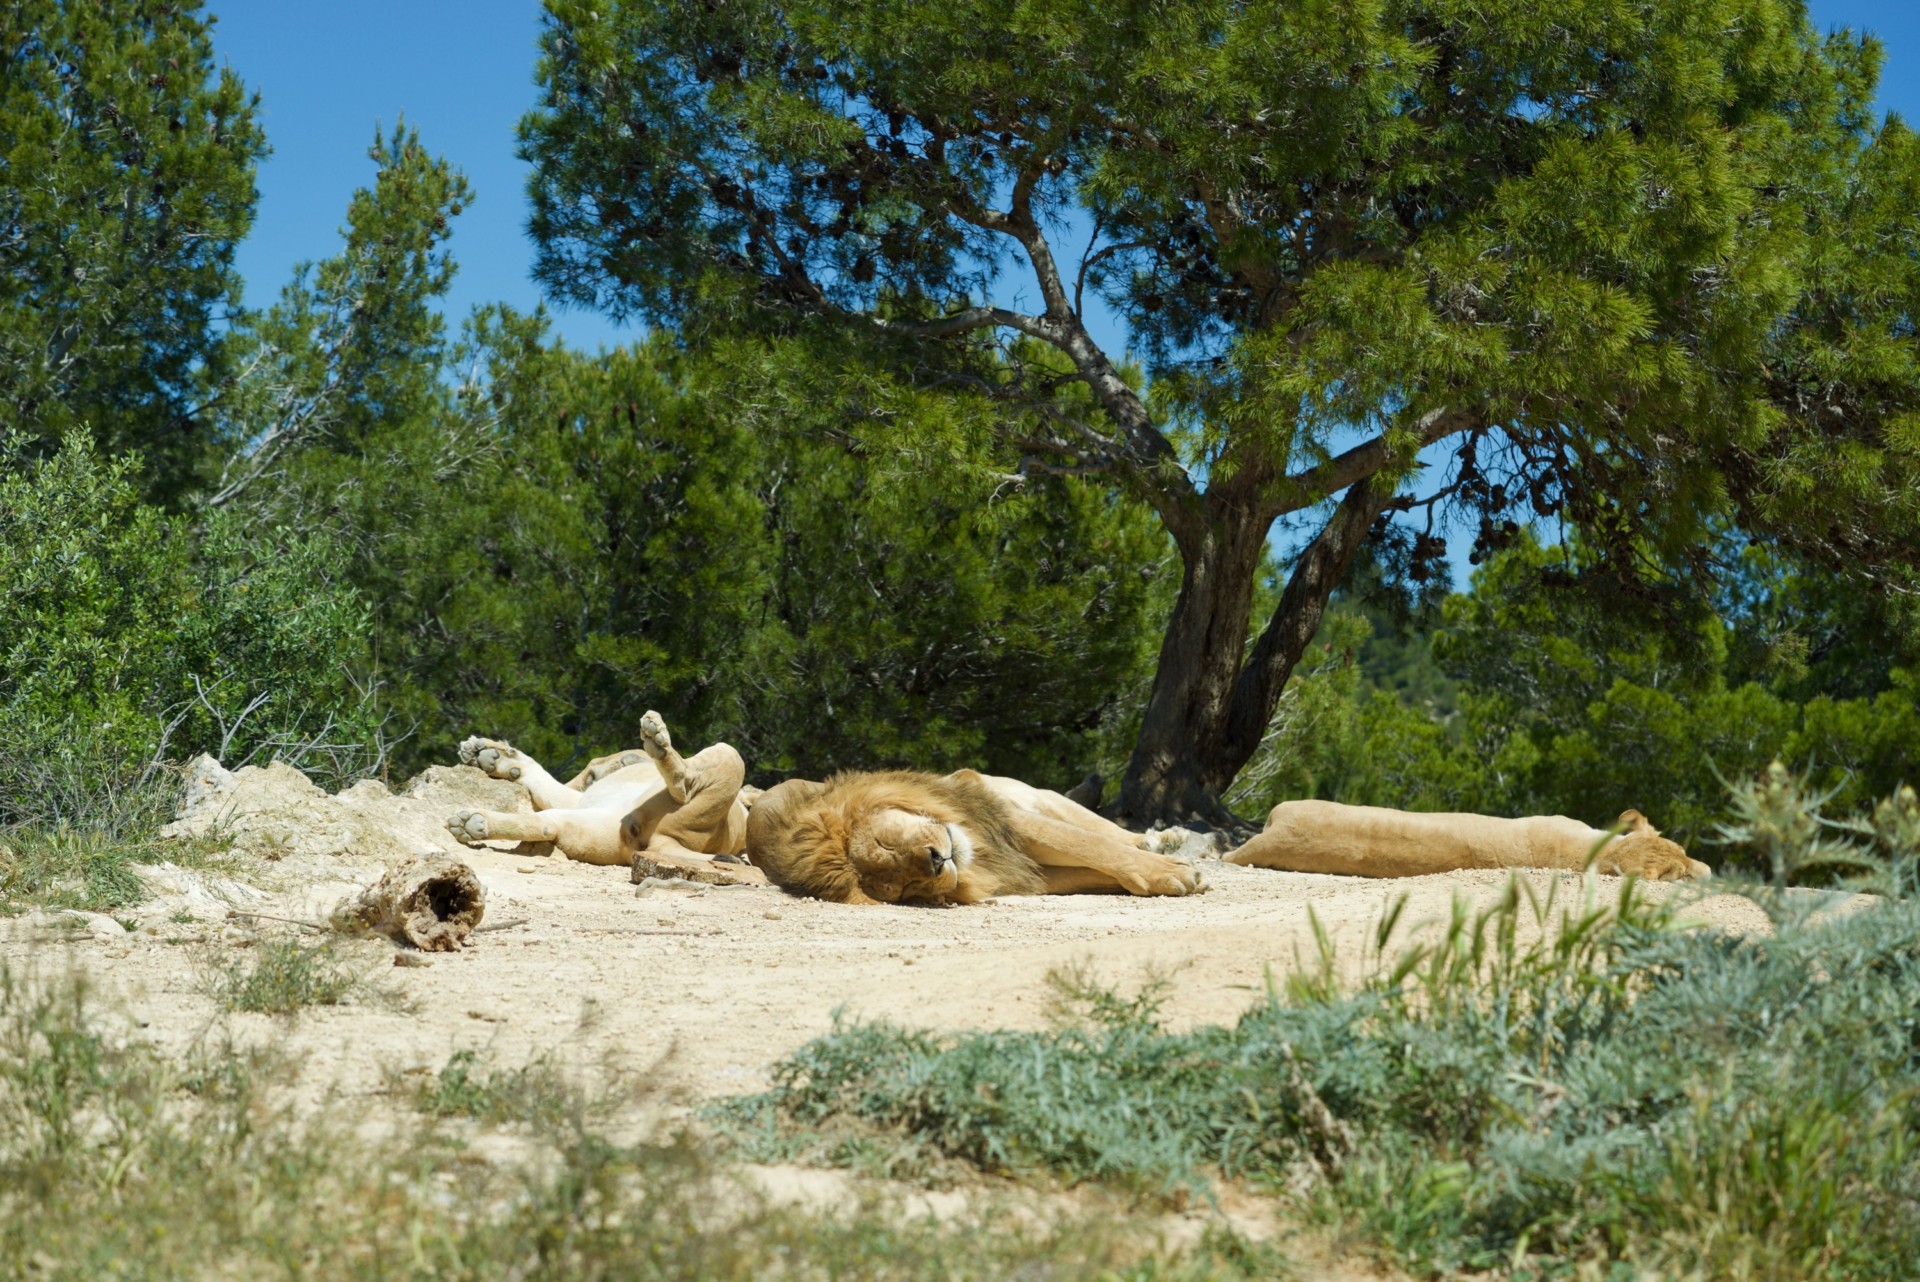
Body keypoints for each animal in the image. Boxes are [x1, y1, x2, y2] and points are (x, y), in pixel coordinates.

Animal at [744, 767, 1198, 905]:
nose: (935, 860)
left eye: (884, 843)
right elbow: (1091, 867)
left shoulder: (1004, 819)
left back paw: (1164, 839)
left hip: (1035, 795)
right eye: (901, 887)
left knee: (1101, 827)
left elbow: (1086, 843)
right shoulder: (1027, 873)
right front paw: (1157, 877)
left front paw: (1176, 872)